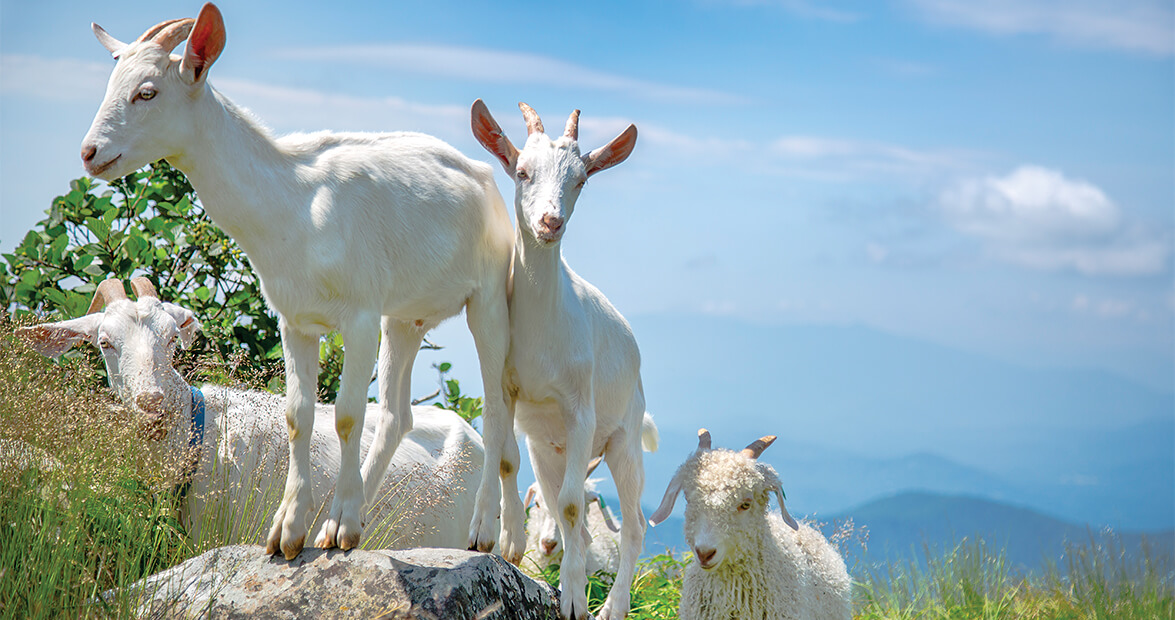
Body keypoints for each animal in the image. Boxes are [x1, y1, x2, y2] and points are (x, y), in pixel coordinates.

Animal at [80, 3, 519, 560]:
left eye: (147, 92)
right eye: (112, 83)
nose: (90, 152)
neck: (294, 202)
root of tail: (484, 176)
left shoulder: (359, 316)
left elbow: (348, 414)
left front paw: (329, 528)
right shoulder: (296, 320)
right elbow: (299, 415)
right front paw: (290, 531)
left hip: (489, 299)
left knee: (498, 408)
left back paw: (488, 534)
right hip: (405, 316)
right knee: (397, 415)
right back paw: (353, 516)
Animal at [471, 99, 644, 620]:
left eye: (581, 179)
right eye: (522, 171)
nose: (550, 223)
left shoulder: (580, 407)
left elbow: (570, 506)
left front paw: (571, 599)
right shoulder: (506, 390)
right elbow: (507, 461)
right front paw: (502, 539)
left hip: (623, 439)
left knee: (632, 526)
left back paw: (612, 606)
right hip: (551, 450)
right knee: (576, 521)